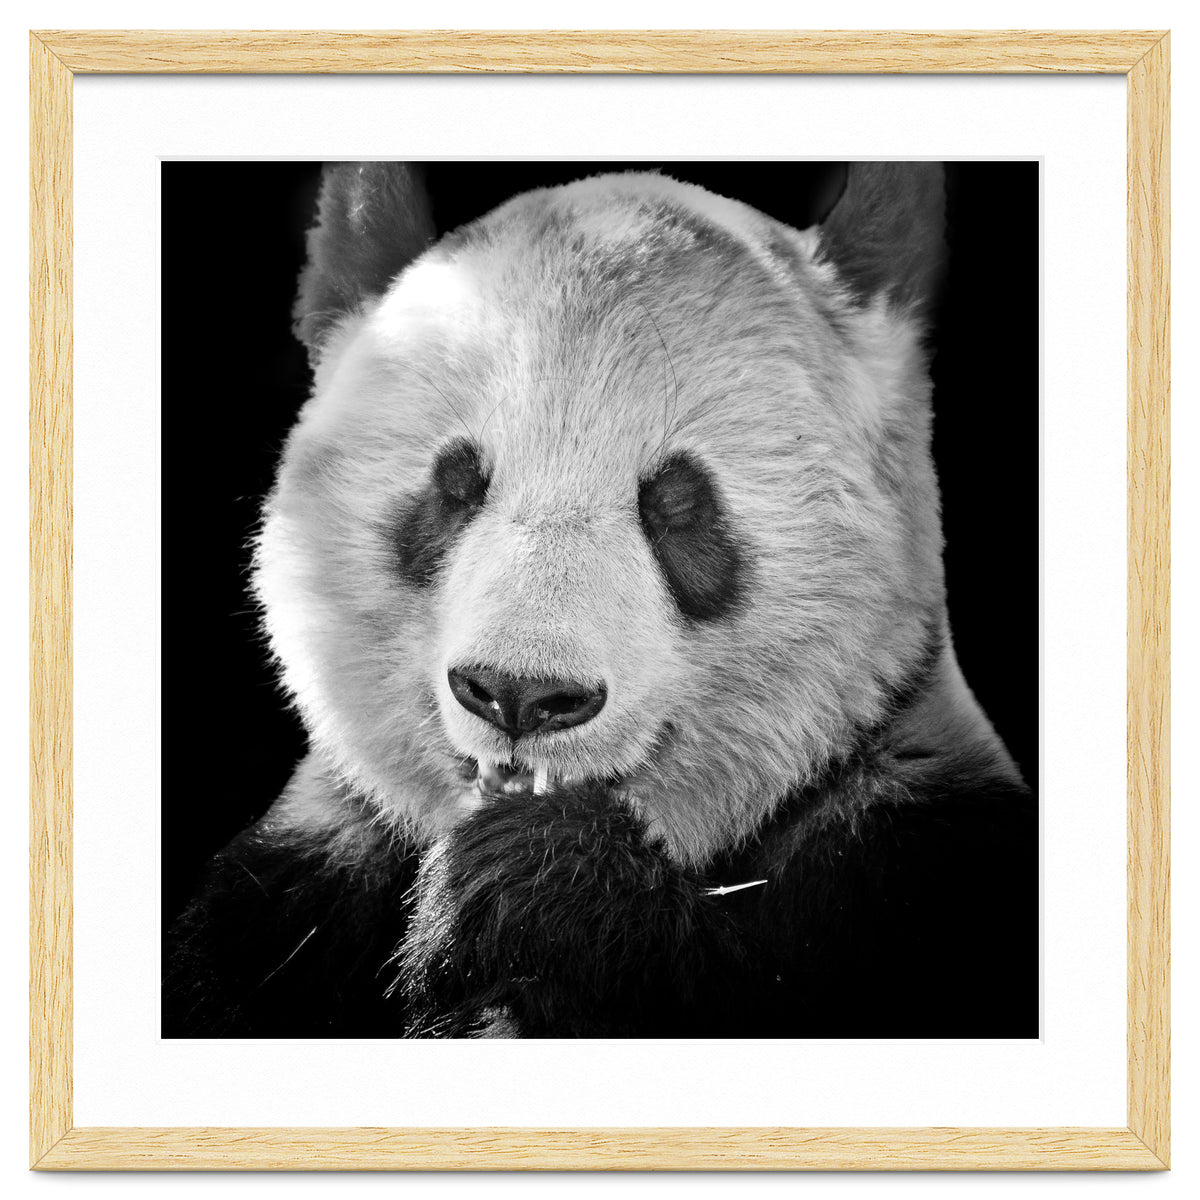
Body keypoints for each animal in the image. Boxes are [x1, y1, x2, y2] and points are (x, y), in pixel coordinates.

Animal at [164, 162, 1037, 1039]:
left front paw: (537, 884)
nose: (520, 694)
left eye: (677, 504)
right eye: (455, 485)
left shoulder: (912, 858)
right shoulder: (290, 892)